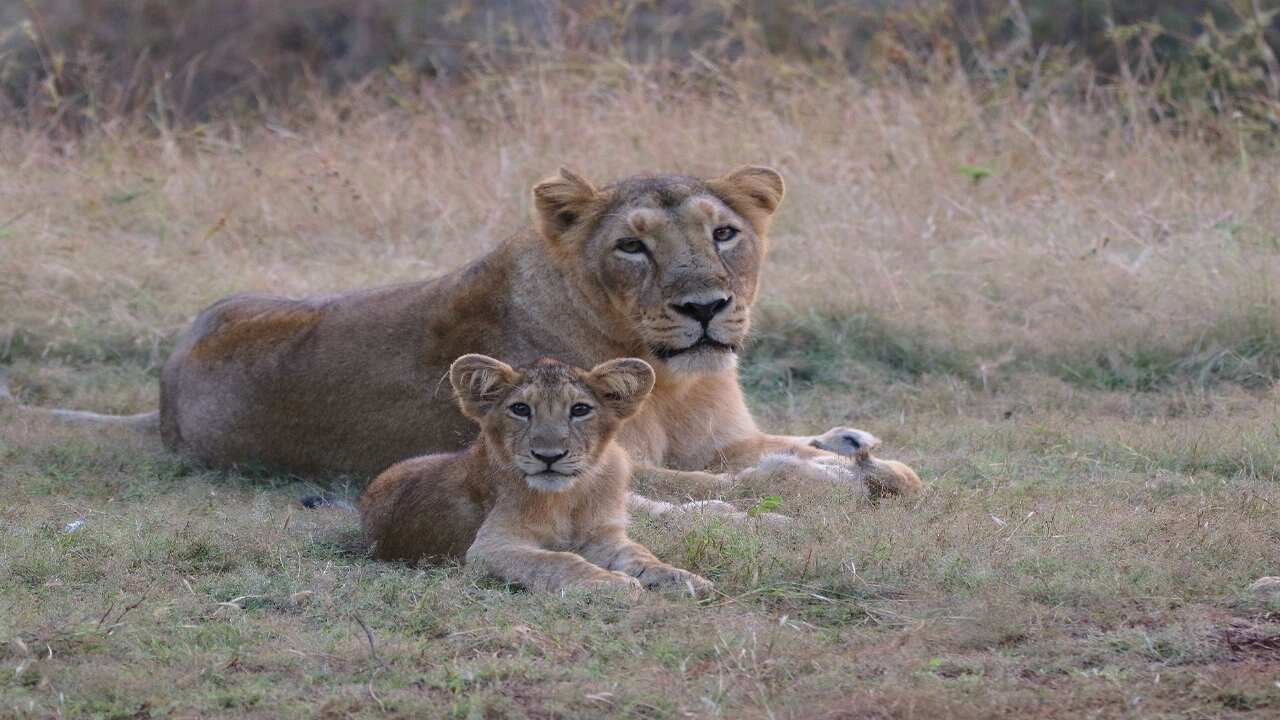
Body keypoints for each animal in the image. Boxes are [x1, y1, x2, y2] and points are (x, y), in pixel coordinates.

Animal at [360, 353, 712, 596]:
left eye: (580, 410)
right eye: (520, 409)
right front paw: (612, 583)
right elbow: (559, 561)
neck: (570, 496)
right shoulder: (489, 548)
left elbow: (642, 555)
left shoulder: (605, 536)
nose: (549, 456)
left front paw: (683, 578)